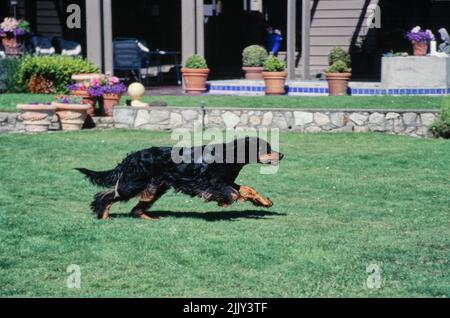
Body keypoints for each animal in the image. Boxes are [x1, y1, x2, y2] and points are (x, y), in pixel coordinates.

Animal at [75, 137, 284, 221]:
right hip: (134, 183)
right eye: (266, 148)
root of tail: (131, 157)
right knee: (107, 195)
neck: (229, 155)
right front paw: (222, 202)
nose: (281, 155)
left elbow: (247, 189)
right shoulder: (208, 183)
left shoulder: (226, 181)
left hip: (153, 188)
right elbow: (232, 194)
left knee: (133, 207)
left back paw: (150, 218)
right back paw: (103, 216)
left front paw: (264, 202)